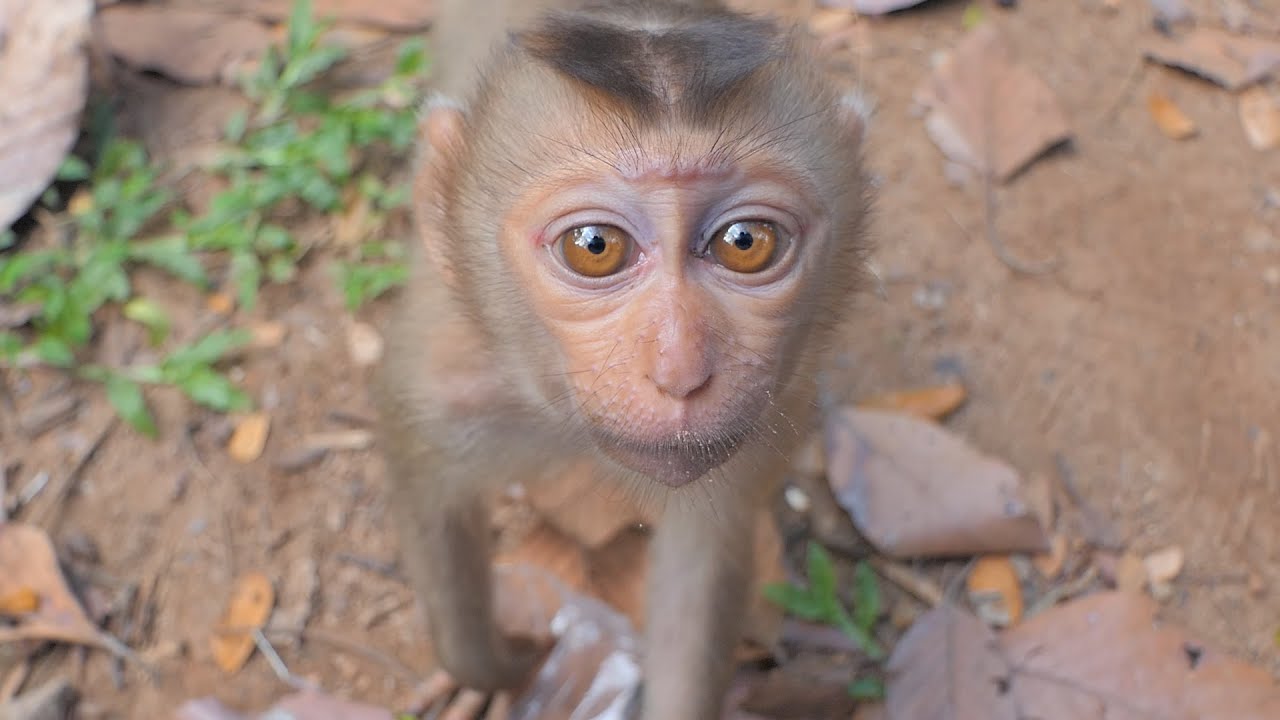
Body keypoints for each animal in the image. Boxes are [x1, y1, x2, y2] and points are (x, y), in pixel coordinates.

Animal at [373, 0, 873, 717]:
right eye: (594, 246)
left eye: (746, 241)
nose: (680, 370)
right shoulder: (440, 387)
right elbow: (432, 512)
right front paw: (497, 661)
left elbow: (697, 570)